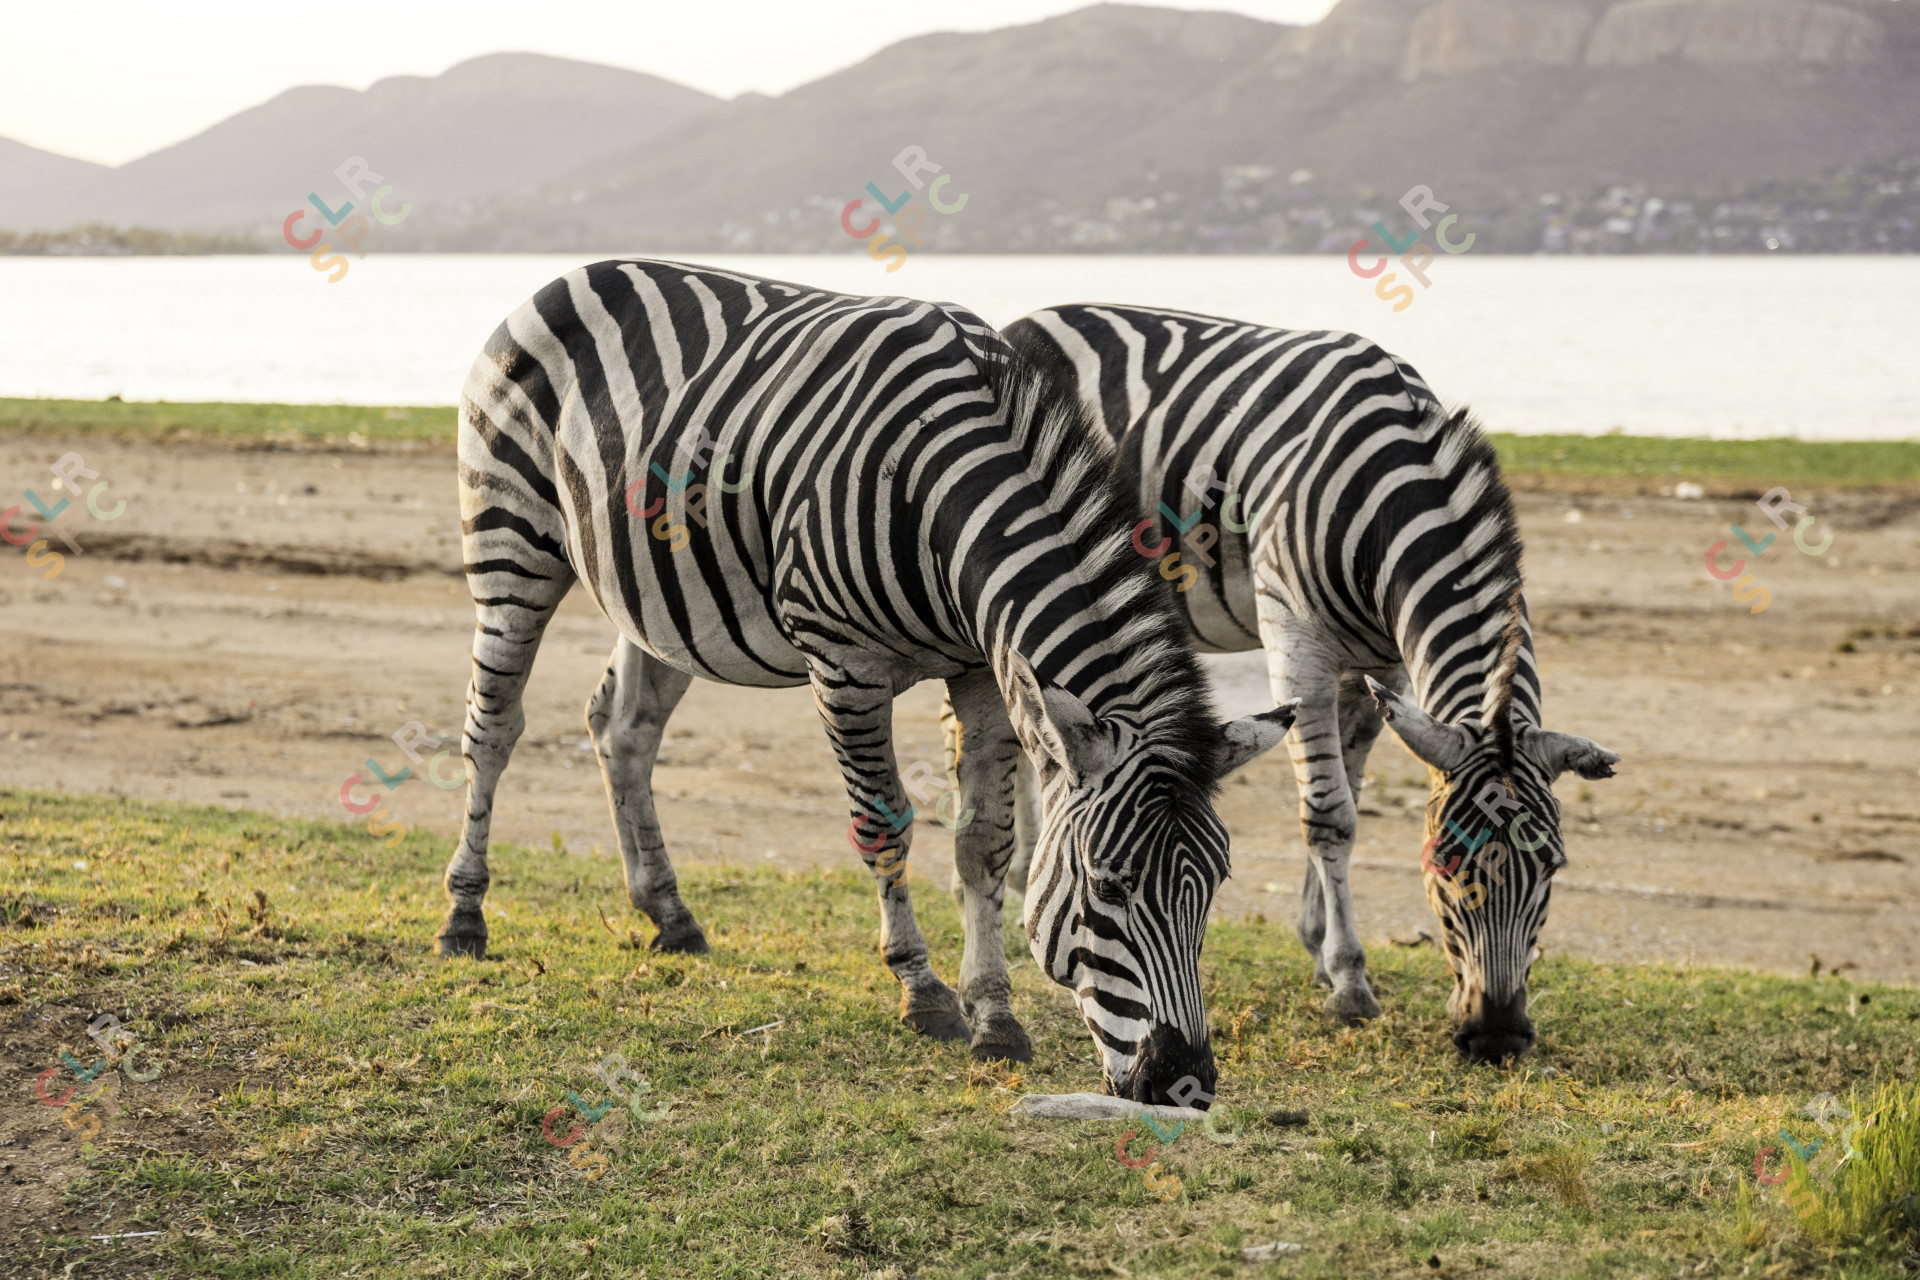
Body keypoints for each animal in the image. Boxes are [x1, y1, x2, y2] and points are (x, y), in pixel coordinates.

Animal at [436, 260, 1295, 1097]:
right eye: (1110, 887)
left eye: (1215, 885)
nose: (1184, 1084)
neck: (943, 489)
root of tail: (571, 275)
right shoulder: (845, 663)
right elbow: (884, 824)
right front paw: (923, 992)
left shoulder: (982, 669)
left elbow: (984, 839)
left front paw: (995, 1015)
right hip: (512, 540)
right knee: (493, 726)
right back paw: (465, 917)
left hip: (664, 598)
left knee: (623, 730)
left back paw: (670, 914)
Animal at [1002, 303, 1620, 1062]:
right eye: (1443, 862)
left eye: (1555, 867)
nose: (1498, 1035)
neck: (1390, 495)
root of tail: (1021, 321)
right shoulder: (1297, 645)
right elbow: (1330, 815)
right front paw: (1349, 980)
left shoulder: (1379, 667)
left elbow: (1347, 791)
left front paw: (1319, 941)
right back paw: (1020, 868)